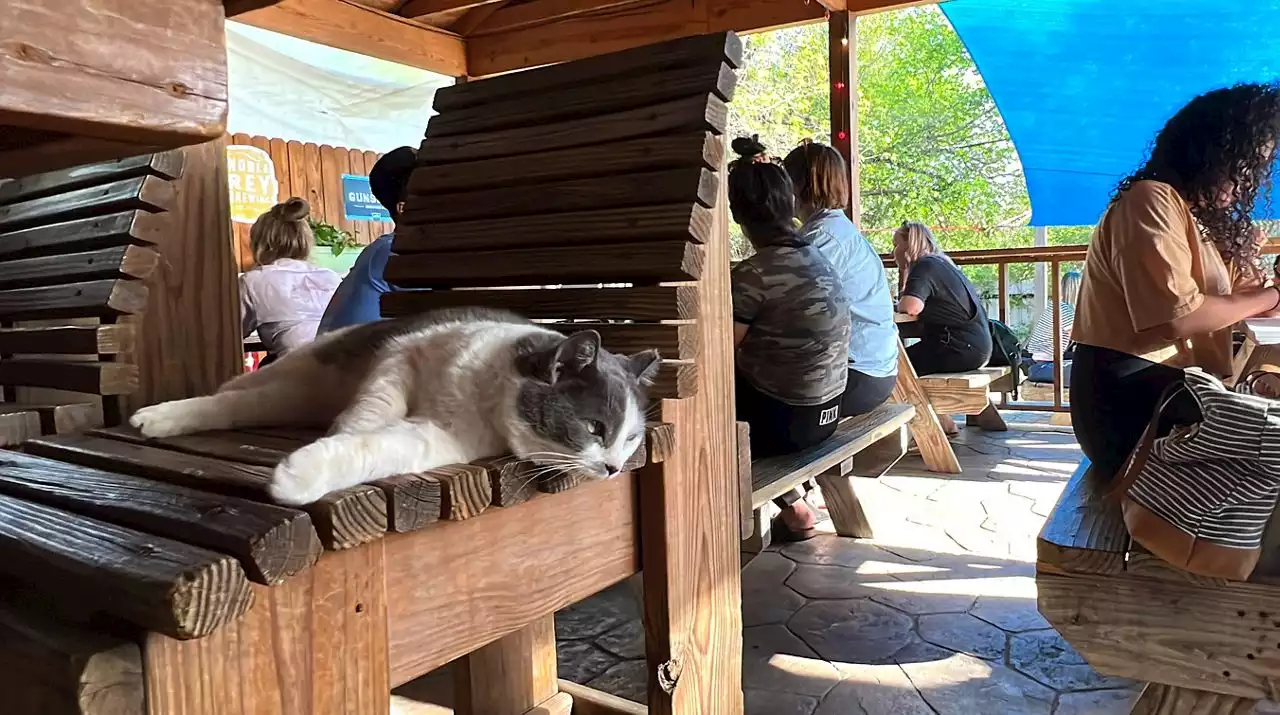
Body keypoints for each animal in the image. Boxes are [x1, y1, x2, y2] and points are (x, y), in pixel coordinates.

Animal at [127, 310, 660, 506]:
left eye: (631, 439)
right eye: (596, 427)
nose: (614, 468)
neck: (479, 394)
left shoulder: (438, 439)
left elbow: (379, 447)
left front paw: (305, 472)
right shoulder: (404, 355)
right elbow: (371, 409)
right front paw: (340, 434)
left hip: (295, 395)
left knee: (247, 405)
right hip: (307, 368)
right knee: (234, 395)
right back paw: (158, 416)